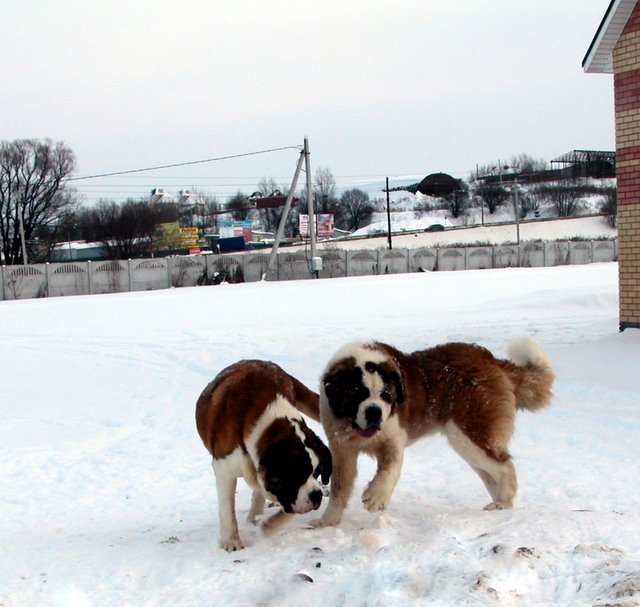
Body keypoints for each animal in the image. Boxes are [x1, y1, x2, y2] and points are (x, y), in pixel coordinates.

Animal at [195, 358, 332, 552]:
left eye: (317, 473)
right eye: (298, 475)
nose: (317, 495)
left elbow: (287, 507)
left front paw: (269, 526)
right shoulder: (224, 469)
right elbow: (227, 509)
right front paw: (232, 542)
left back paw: (256, 515)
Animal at [320, 338, 556, 528]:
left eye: (386, 396)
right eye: (358, 394)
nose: (374, 412)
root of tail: (490, 358)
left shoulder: (394, 436)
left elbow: (390, 467)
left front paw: (376, 496)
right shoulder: (342, 449)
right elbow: (340, 485)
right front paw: (328, 521)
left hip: (467, 433)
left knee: (504, 465)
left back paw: (502, 502)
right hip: (468, 445)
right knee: (492, 472)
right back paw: (500, 501)